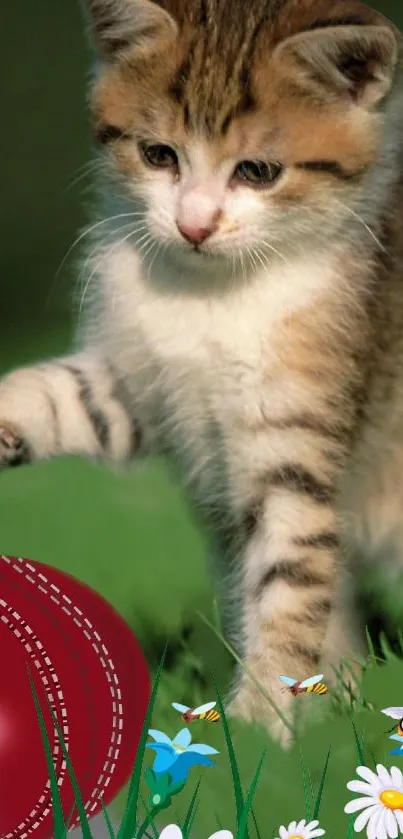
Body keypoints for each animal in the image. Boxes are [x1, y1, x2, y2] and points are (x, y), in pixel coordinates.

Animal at [0, 0, 403, 744]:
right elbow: (63, 395)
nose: (194, 226)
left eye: (259, 171)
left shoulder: (294, 450)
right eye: (159, 155)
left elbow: (287, 584)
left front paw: (259, 728)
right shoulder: (139, 387)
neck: (209, 294)